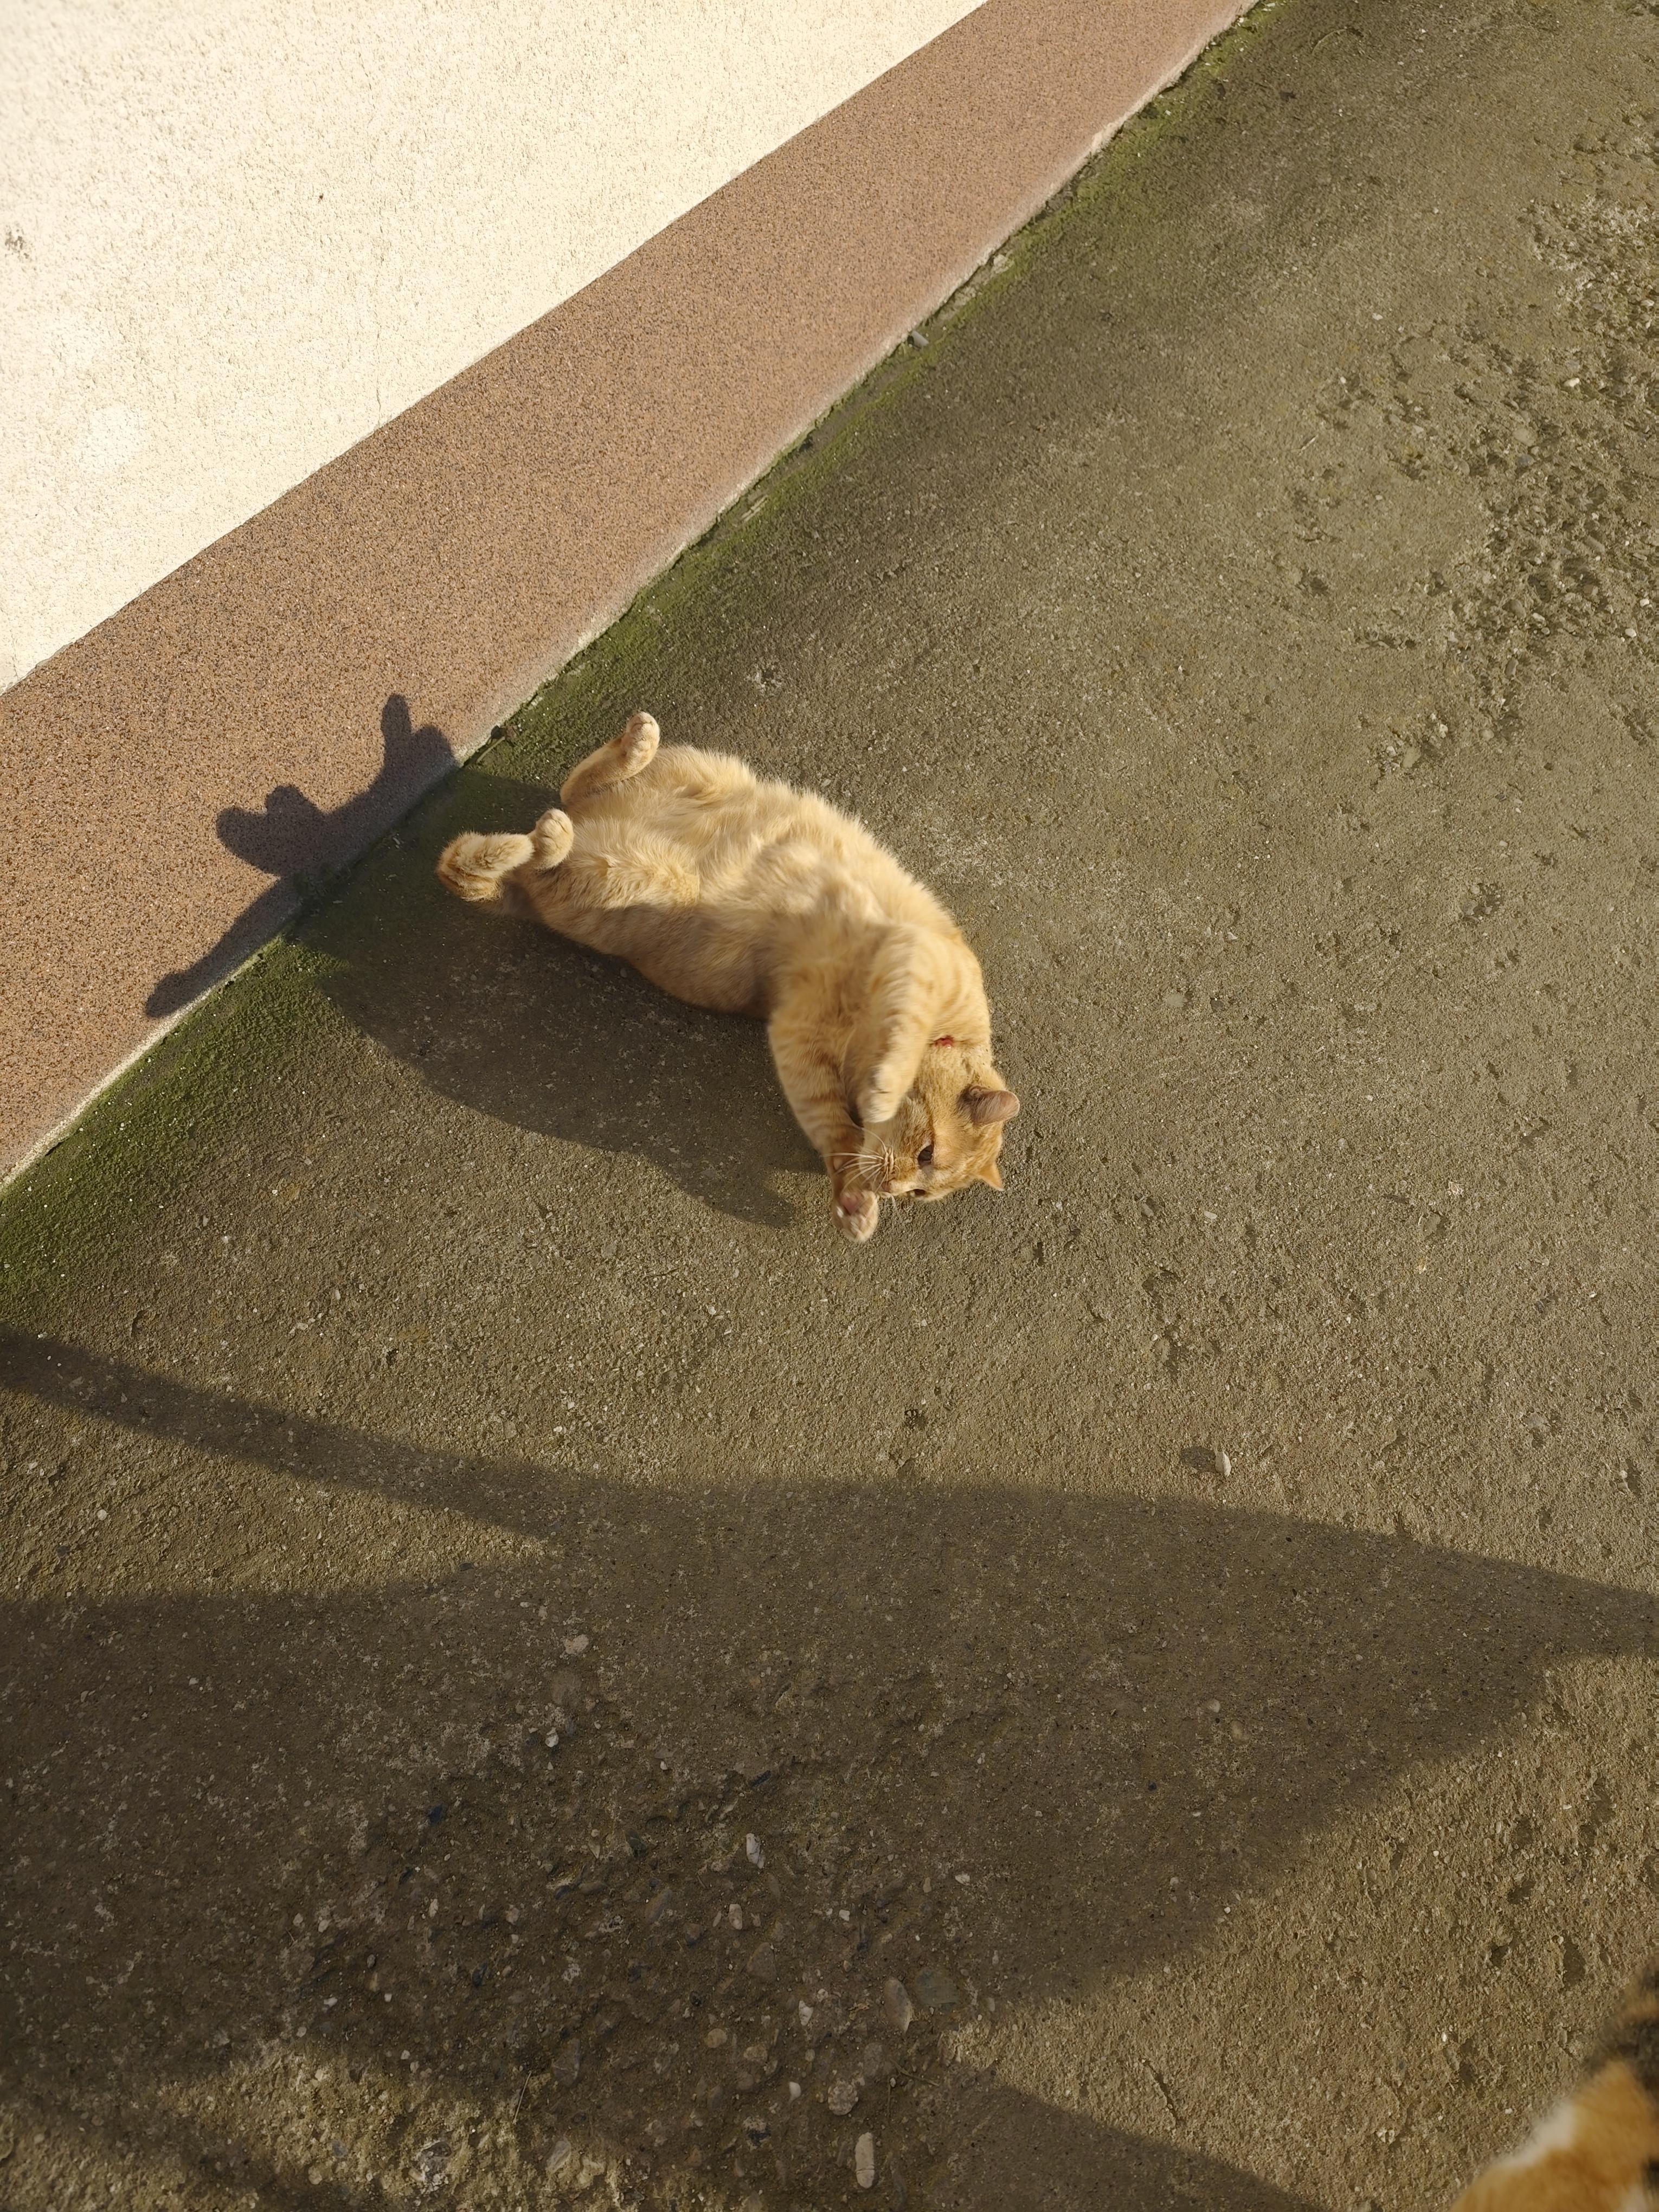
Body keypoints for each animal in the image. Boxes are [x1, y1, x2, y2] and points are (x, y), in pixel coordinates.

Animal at [436, 712, 1018, 1240]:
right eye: (926, 1154)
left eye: (920, 1192)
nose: (892, 1189)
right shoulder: (915, 959)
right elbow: (900, 1041)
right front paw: (883, 1093)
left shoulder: (797, 1039)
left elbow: (827, 1122)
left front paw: (853, 1197)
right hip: (679, 822)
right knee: (565, 802)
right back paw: (625, 755)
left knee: (549, 830)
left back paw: (565, 821)